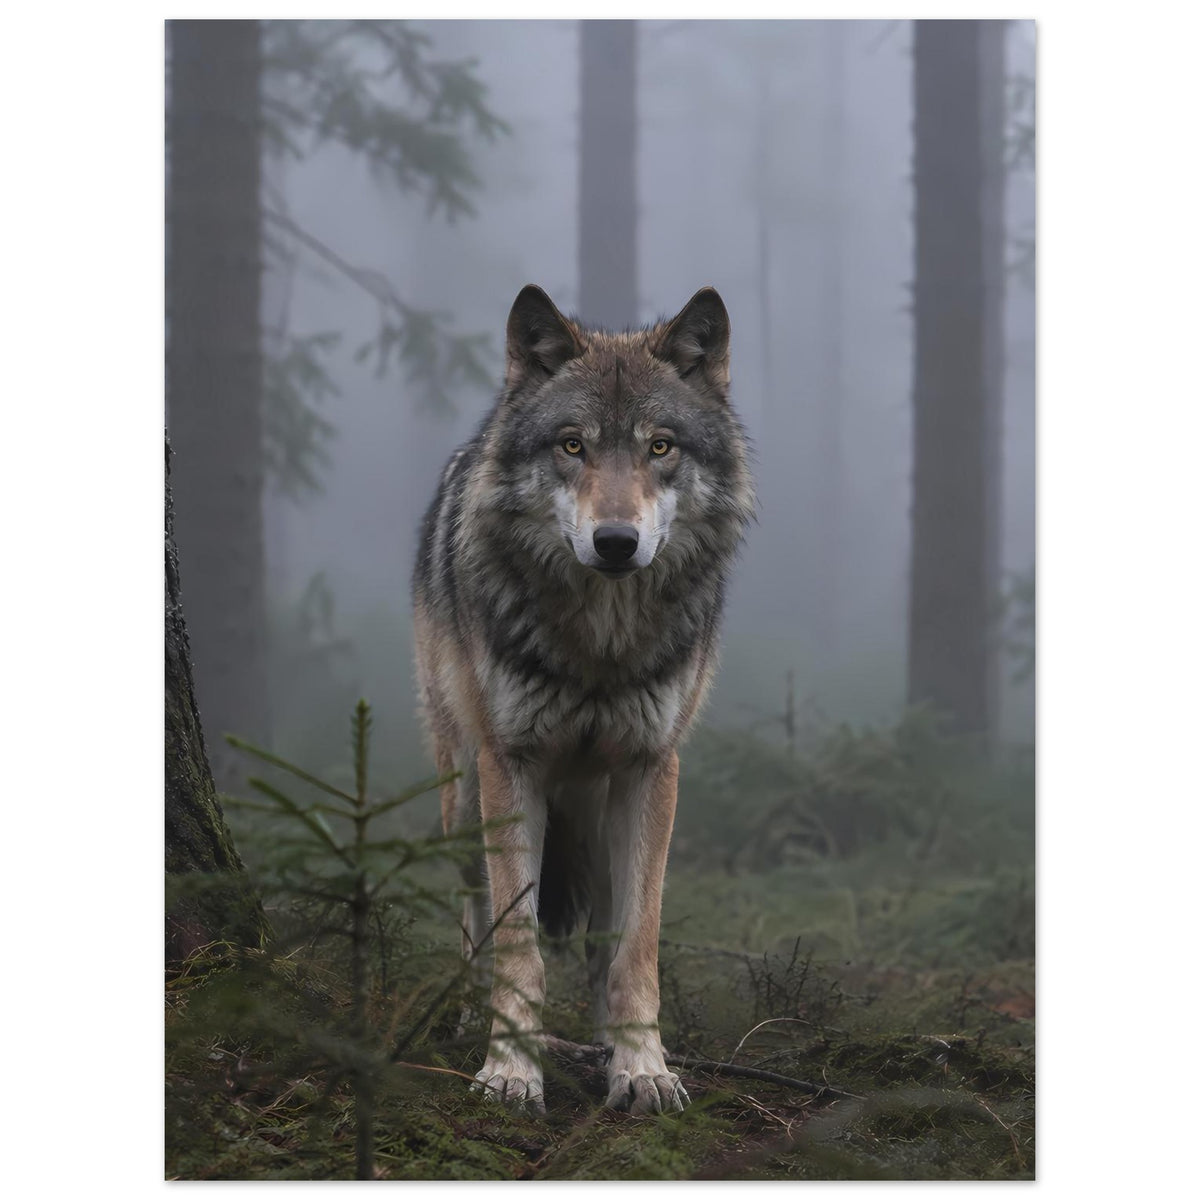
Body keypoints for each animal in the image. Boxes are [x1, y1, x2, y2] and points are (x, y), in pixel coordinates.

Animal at [412, 284, 754, 1115]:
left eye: (660, 447)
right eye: (572, 446)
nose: (616, 542)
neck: (600, 644)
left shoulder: (650, 769)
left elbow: (636, 947)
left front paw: (643, 1067)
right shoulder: (512, 765)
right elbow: (518, 945)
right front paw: (509, 1070)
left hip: (597, 814)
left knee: (602, 935)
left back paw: (605, 1042)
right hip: (464, 797)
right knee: (473, 917)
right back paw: (464, 1018)